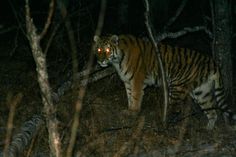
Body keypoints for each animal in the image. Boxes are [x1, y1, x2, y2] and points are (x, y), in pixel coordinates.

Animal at [93, 33, 235, 129]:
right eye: (99, 50)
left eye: (107, 50)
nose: (100, 61)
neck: (118, 60)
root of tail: (212, 62)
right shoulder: (128, 82)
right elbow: (129, 97)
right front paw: (128, 111)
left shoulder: (137, 81)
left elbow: (135, 98)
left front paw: (133, 113)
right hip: (202, 93)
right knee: (213, 112)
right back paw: (208, 129)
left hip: (177, 87)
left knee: (175, 108)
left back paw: (164, 124)